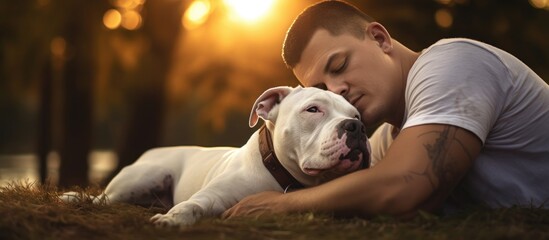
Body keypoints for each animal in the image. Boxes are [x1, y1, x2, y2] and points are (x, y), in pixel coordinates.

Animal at [60, 86, 370, 227]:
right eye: (313, 110)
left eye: (356, 115)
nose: (356, 127)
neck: (280, 174)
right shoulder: (213, 196)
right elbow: (191, 205)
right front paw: (173, 220)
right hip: (143, 178)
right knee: (100, 199)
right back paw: (72, 198)